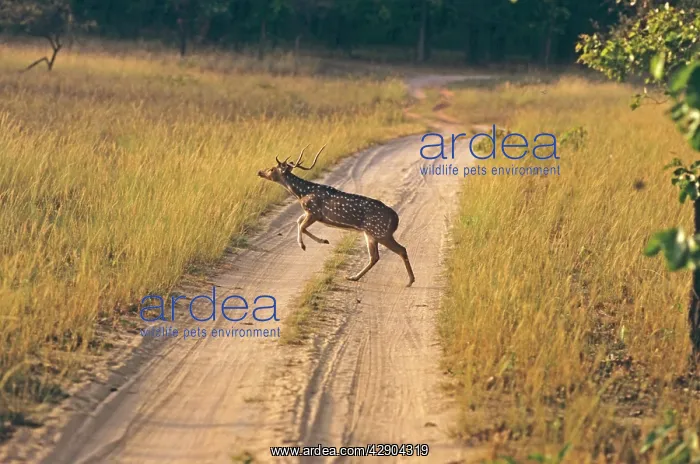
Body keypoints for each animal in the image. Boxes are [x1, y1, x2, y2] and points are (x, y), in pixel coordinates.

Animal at [257, 145, 415, 287]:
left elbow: (301, 226)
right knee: (375, 257)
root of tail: (395, 219)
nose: (260, 171)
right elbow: (298, 222)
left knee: (401, 249)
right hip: (371, 233)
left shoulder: (314, 212)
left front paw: (306, 245)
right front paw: (321, 241)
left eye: (272, 169)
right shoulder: (310, 213)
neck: (301, 193)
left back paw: (409, 281)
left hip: (381, 232)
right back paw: (353, 277)